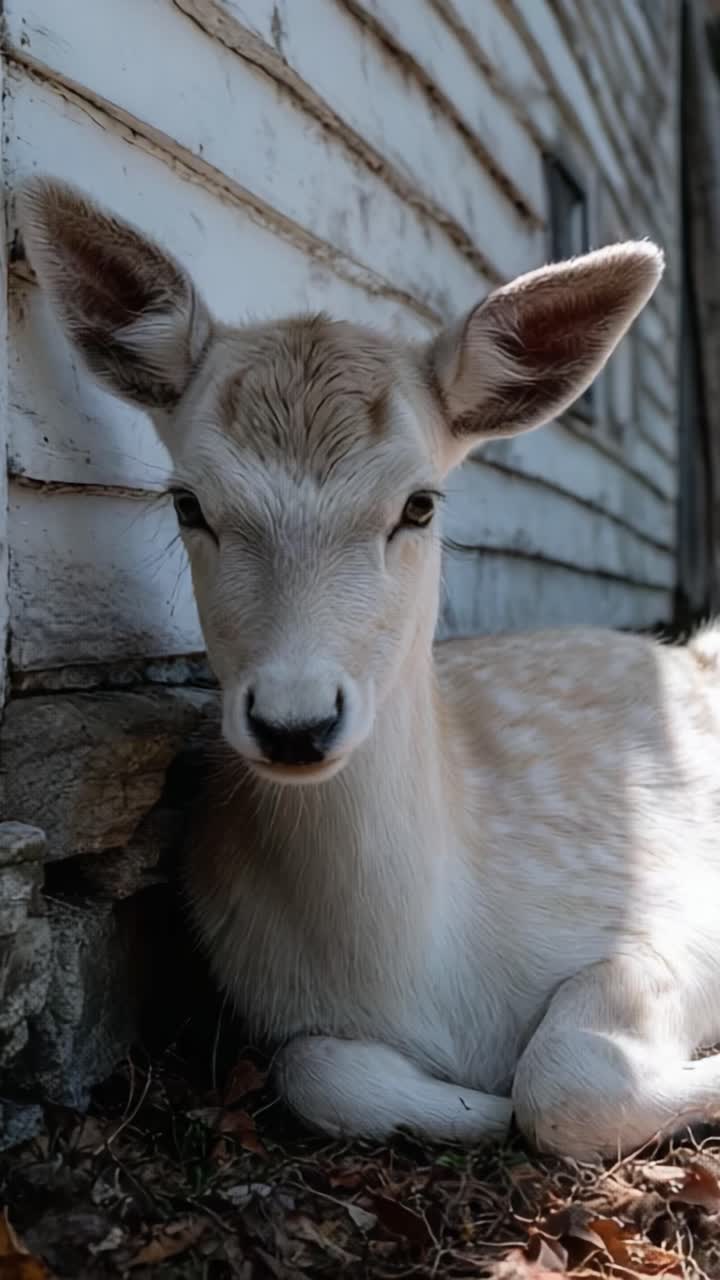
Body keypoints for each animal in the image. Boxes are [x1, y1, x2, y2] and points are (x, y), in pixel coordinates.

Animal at [19, 177, 720, 1162]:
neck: (430, 982)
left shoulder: (676, 907)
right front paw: (472, 1110)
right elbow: (315, 1067)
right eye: (189, 502)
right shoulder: (272, 1008)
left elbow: (560, 1078)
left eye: (420, 503)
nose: (296, 723)